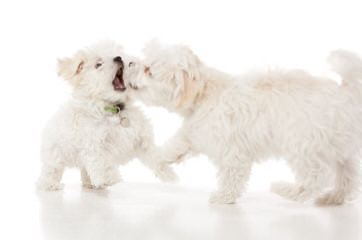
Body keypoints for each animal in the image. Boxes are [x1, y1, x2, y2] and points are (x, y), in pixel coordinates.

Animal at [37, 41, 177, 191]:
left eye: (119, 55)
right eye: (99, 64)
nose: (118, 58)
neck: (115, 109)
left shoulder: (140, 139)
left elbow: (154, 155)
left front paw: (169, 174)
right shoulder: (95, 144)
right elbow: (102, 161)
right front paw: (109, 178)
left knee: (84, 170)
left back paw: (90, 184)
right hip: (54, 153)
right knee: (51, 170)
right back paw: (50, 184)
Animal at [126, 40, 362, 204]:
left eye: (148, 70)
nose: (129, 62)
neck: (205, 93)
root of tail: (347, 93)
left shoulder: (232, 150)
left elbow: (232, 176)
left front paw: (223, 197)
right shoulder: (194, 132)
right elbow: (174, 147)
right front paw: (157, 158)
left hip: (304, 146)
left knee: (316, 179)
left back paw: (283, 189)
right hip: (341, 150)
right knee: (348, 178)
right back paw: (333, 198)